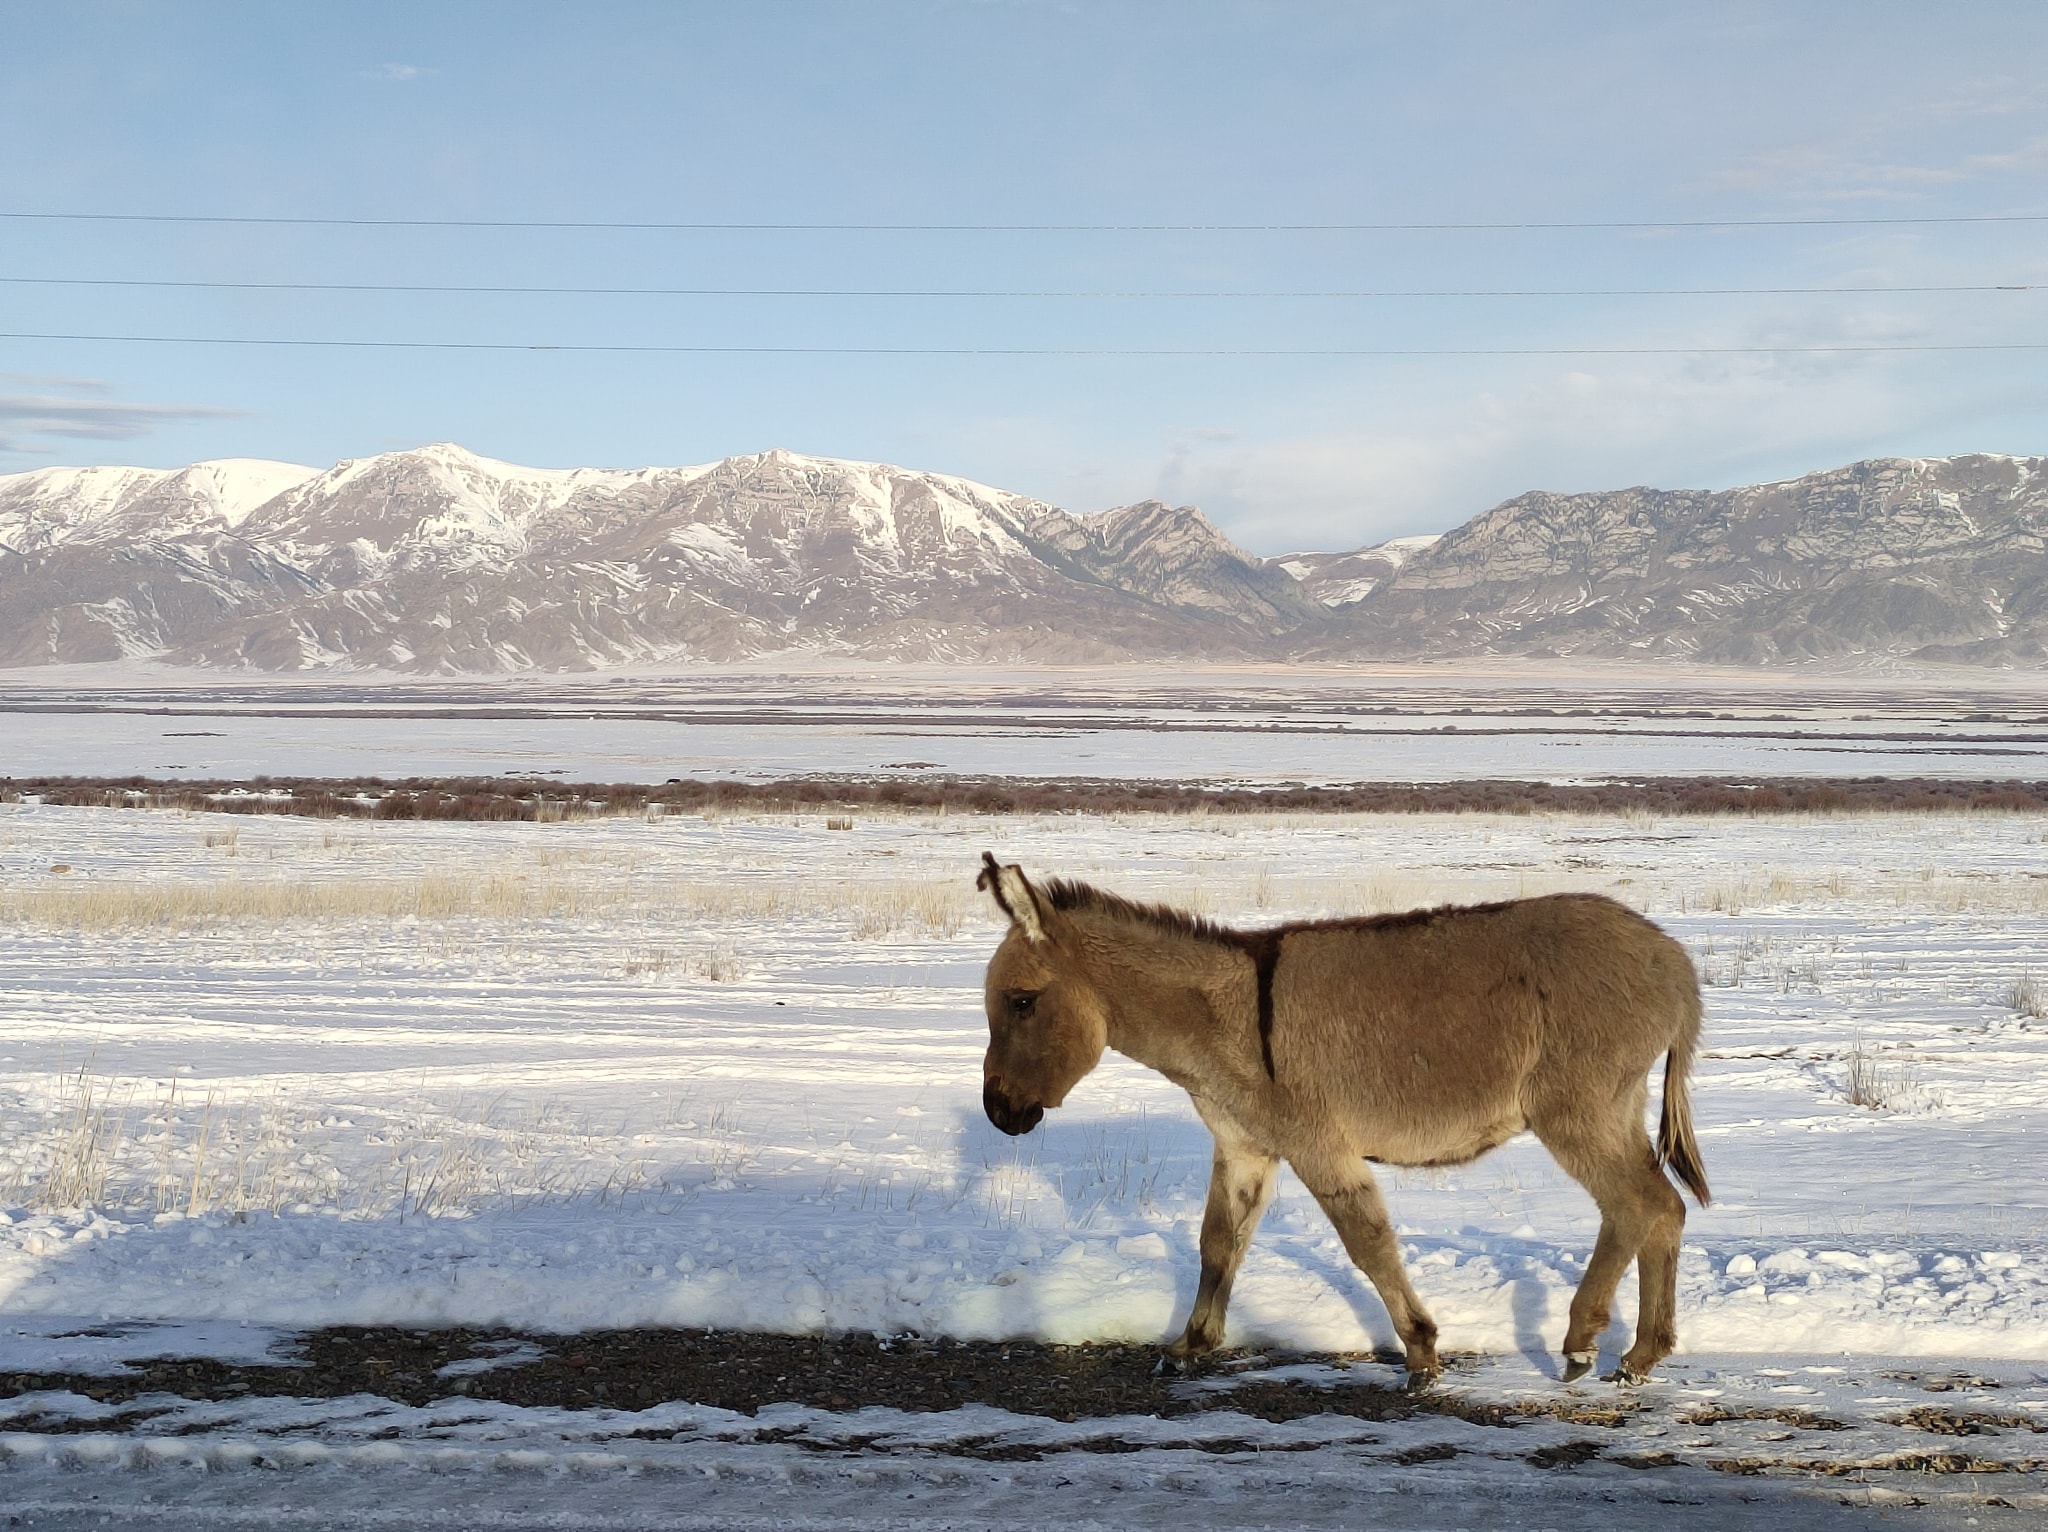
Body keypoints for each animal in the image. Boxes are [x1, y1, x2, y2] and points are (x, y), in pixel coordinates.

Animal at [974, 853, 1710, 1388]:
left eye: (1021, 1002)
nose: (998, 1115)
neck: (1226, 1019)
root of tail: (1675, 964)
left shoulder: (1317, 1146)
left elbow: (1368, 1244)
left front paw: (1420, 1354)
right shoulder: (1245, 1147)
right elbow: (1218, 1244)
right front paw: (1189, 1345)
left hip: (1576, 1109)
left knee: (1634, 1205)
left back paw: (1583, 1342)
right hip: (1615, 1106)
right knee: (1666, 1208)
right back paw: (1642, 1356)